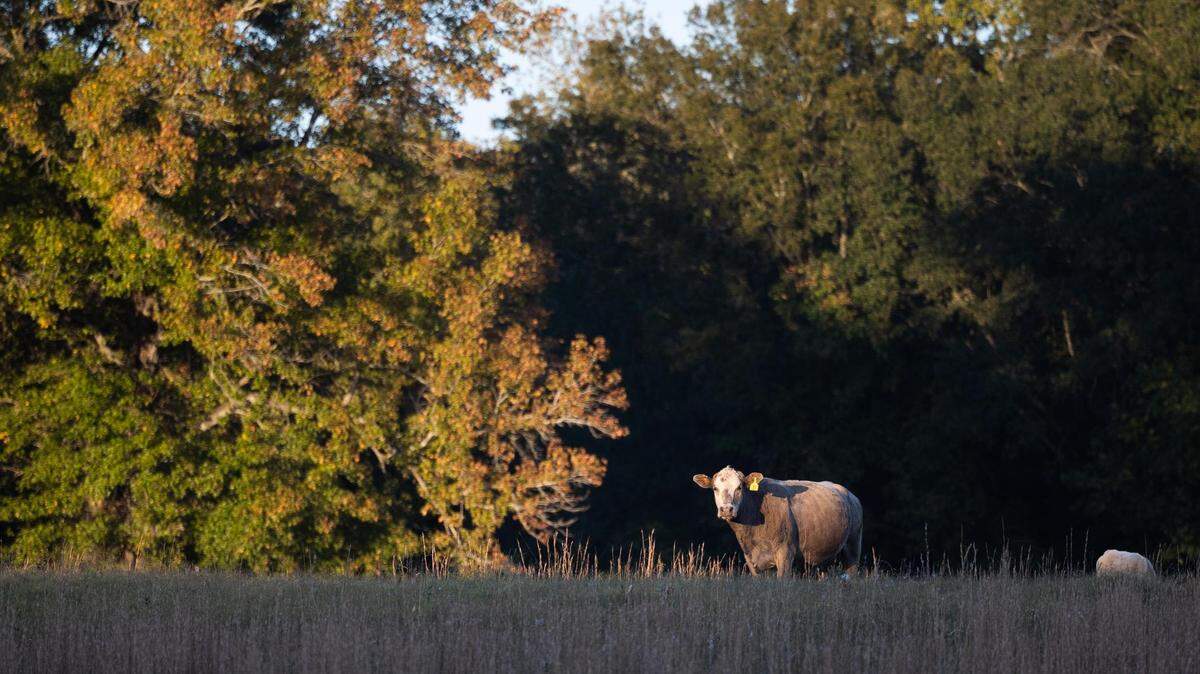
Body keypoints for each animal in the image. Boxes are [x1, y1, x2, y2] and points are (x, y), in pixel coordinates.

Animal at [693, 466, 863, 578]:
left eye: (739, 487)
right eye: (715, 488)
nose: (726, 509)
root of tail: (850, 494)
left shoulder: (785, 552)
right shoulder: (750, 557)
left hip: (853, 545)